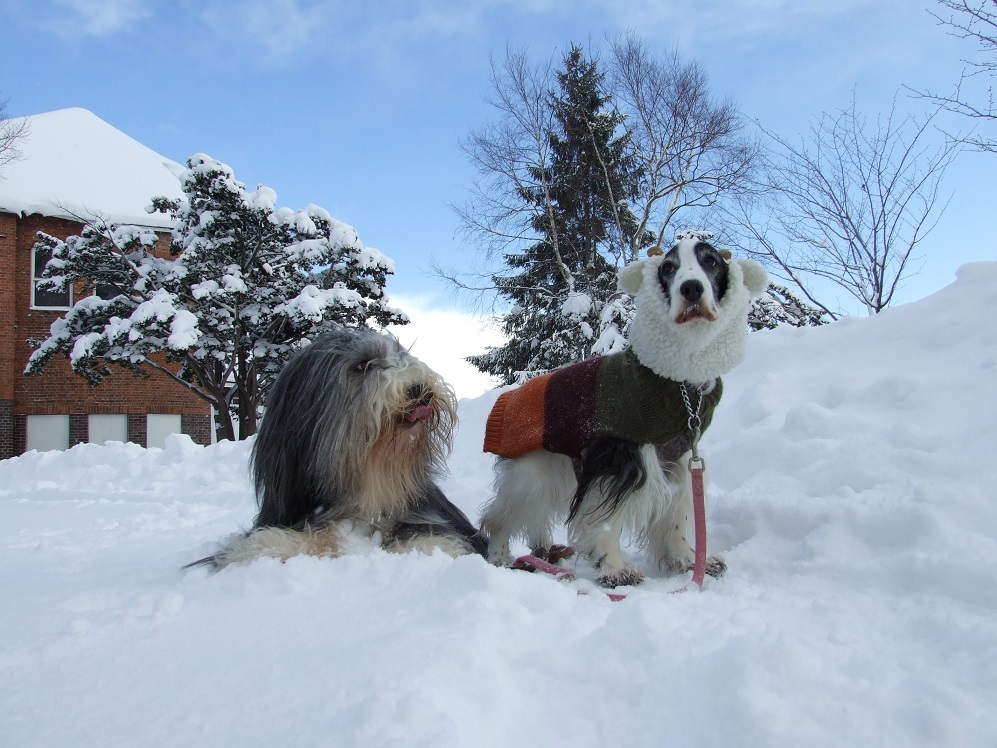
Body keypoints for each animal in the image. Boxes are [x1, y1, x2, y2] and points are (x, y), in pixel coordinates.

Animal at [478, 231, 768, 588]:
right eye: (668, 267)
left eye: (711, 261)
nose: (691, 289)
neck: (674, 381)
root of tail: (506, 403)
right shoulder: (619, 458)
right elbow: (606, 519)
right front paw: (614, 569)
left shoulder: (678, 458)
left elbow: (678, 515)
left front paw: (688, 561)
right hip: (531, 476)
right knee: (499, 518)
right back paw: (500, 559)